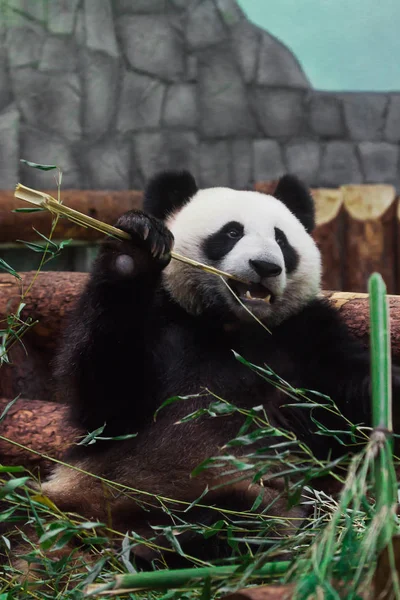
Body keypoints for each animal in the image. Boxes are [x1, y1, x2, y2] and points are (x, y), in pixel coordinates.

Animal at [36, 170, 398, 568]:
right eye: (232, 232)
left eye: (281, 238)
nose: (266, 267)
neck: (231, 324)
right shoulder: (163, 322)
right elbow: (105, 400)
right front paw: (135, 249)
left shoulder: (307, 336)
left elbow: (346, 401)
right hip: (68, 486)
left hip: (228, 488)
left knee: (242, 516)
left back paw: (163, 545)